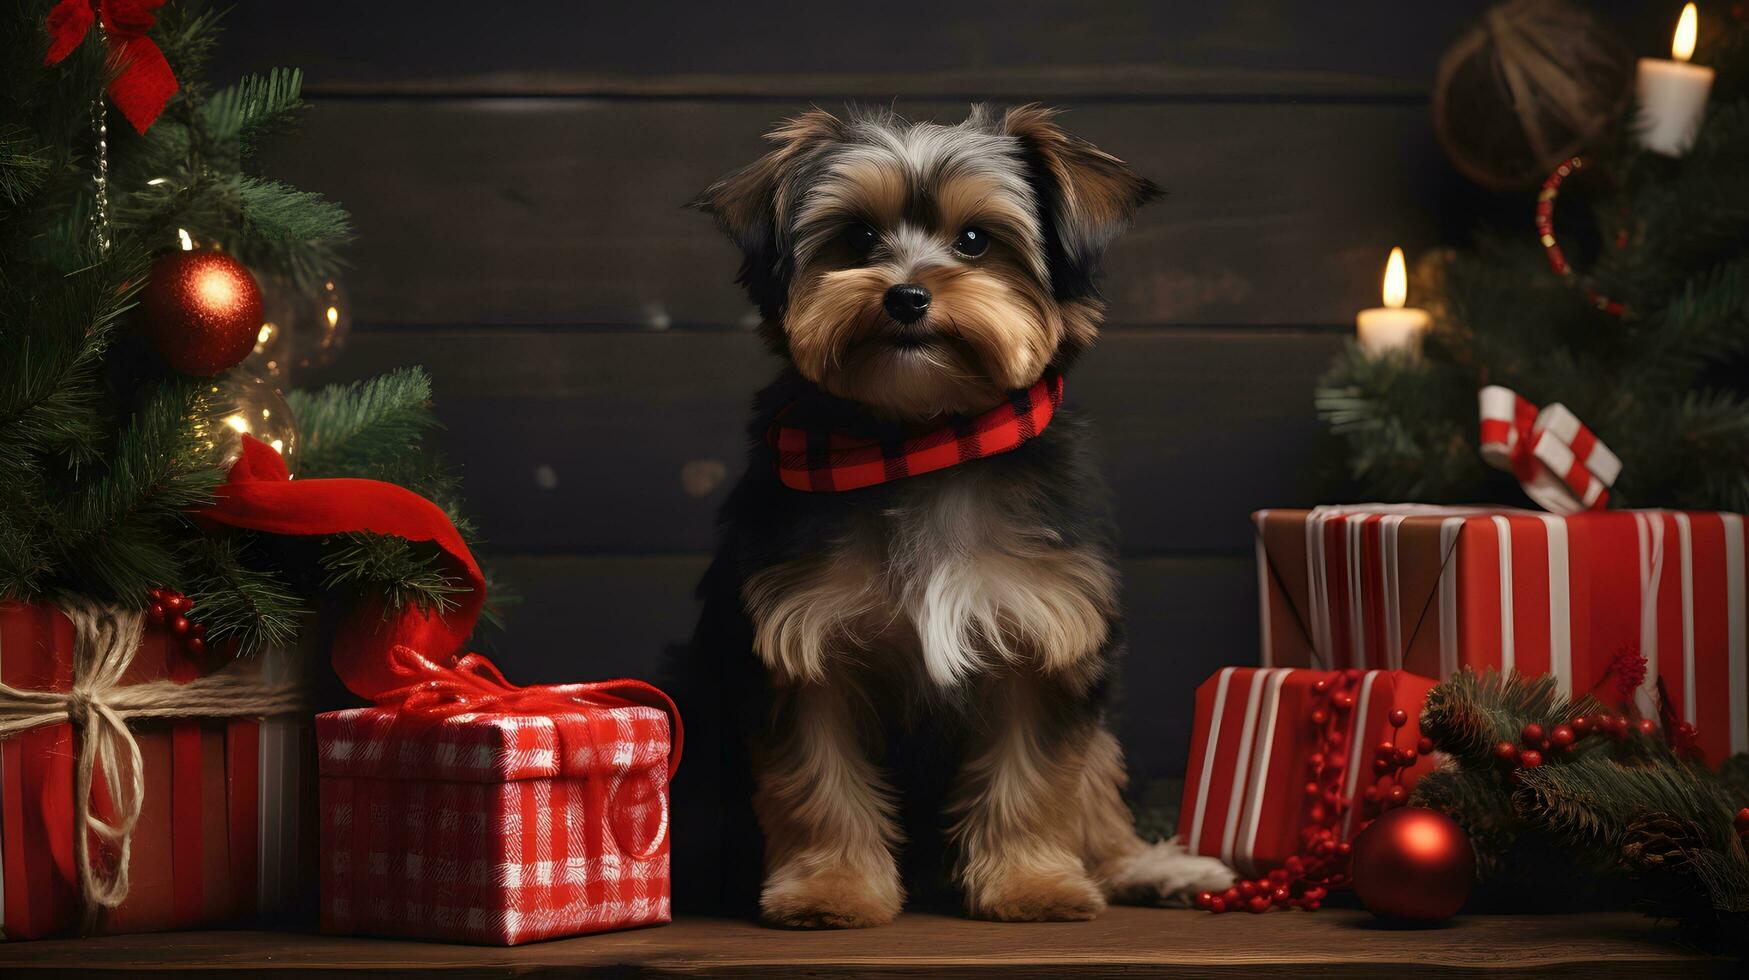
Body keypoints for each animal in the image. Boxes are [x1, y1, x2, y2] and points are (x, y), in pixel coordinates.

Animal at [678, 105, 1231, 924]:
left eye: (974, 240)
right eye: (857, 239)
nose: (905, 296)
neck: (922, 442)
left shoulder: (1045, 633)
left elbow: (1035, 778)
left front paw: (1032, 886)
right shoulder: (798, 643)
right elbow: (815, 781)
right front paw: (830, 889)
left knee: (1098, 788)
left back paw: (1149, 868)